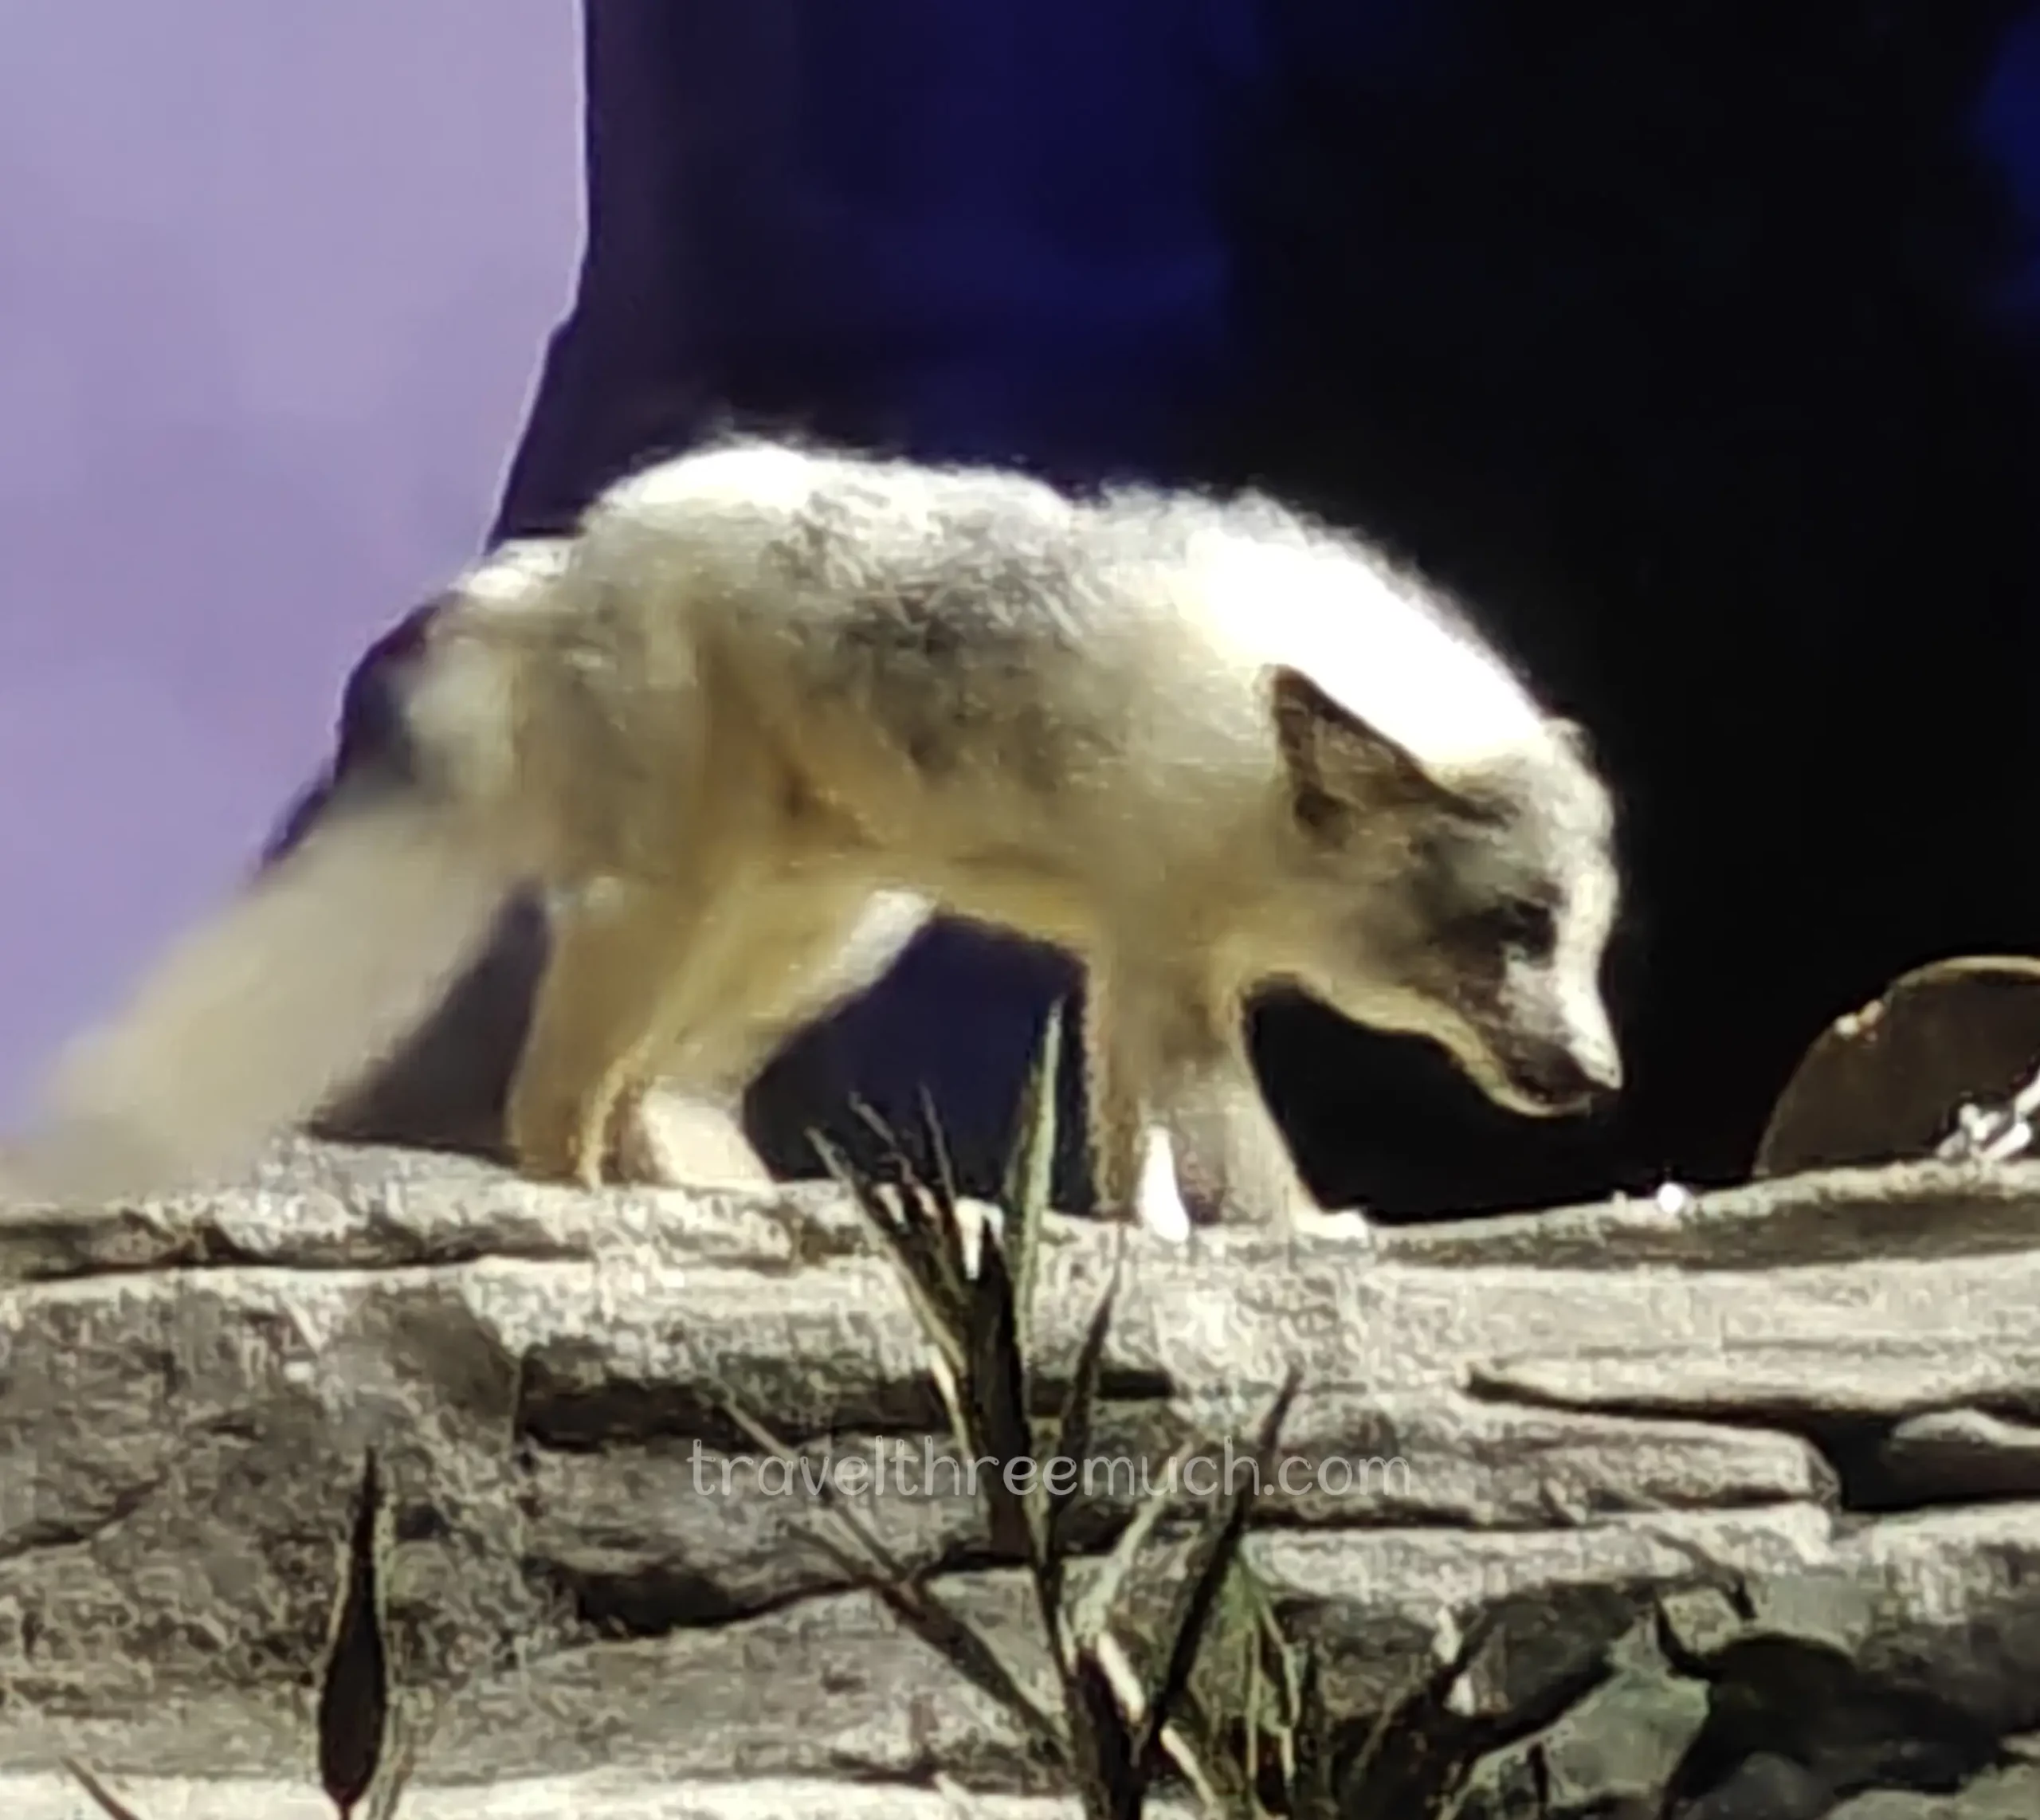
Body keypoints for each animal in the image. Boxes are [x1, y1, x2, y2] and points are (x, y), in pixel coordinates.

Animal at [0, 436, 1623, 1239]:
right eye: (1511, 929)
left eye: (1583, 943)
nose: (1605, 1080)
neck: (1243, 724)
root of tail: (561, 561)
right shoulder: (1166, 962)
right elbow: (1226, 1145)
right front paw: (1303, 1234)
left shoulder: (1138, 970)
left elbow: (1138, 1153)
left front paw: (1161, 1245)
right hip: (672, 905)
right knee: (552, 1112)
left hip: (819, 929)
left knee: (656, 1096)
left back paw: (739, 1203)